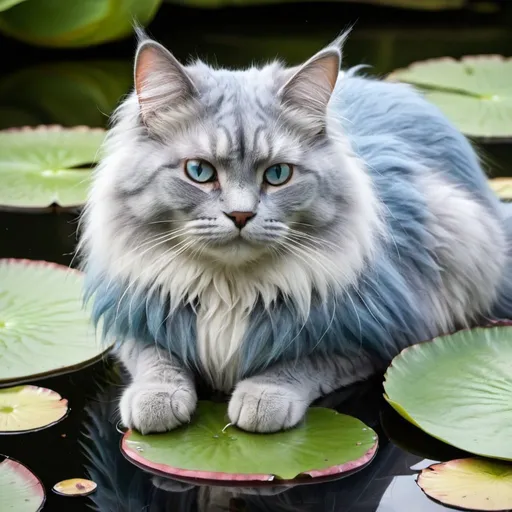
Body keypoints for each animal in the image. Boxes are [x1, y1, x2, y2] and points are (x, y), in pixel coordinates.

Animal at [78, 30, 510, 434]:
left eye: (277, 175)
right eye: (199, 171)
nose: (240, 215)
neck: (229, 290)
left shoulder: (373, 340)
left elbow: (300, 364)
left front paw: (260, 399)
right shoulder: (131, 317)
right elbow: (155, 358)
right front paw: (157, 401)